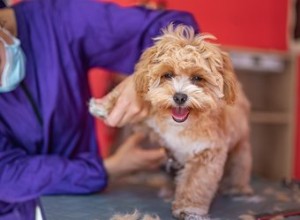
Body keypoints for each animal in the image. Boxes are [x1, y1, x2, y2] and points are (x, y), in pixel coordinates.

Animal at [89, 24, 253, 219]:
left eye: (198, 78)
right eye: (167, 74)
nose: (180, 97)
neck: (180, 125)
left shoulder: (207, 153)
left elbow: (196, 183)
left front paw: (189, 209)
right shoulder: (153, 124)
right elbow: (143, 101)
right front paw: (105, 107)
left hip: (240, 147)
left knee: (239, 165)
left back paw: (237, 187)